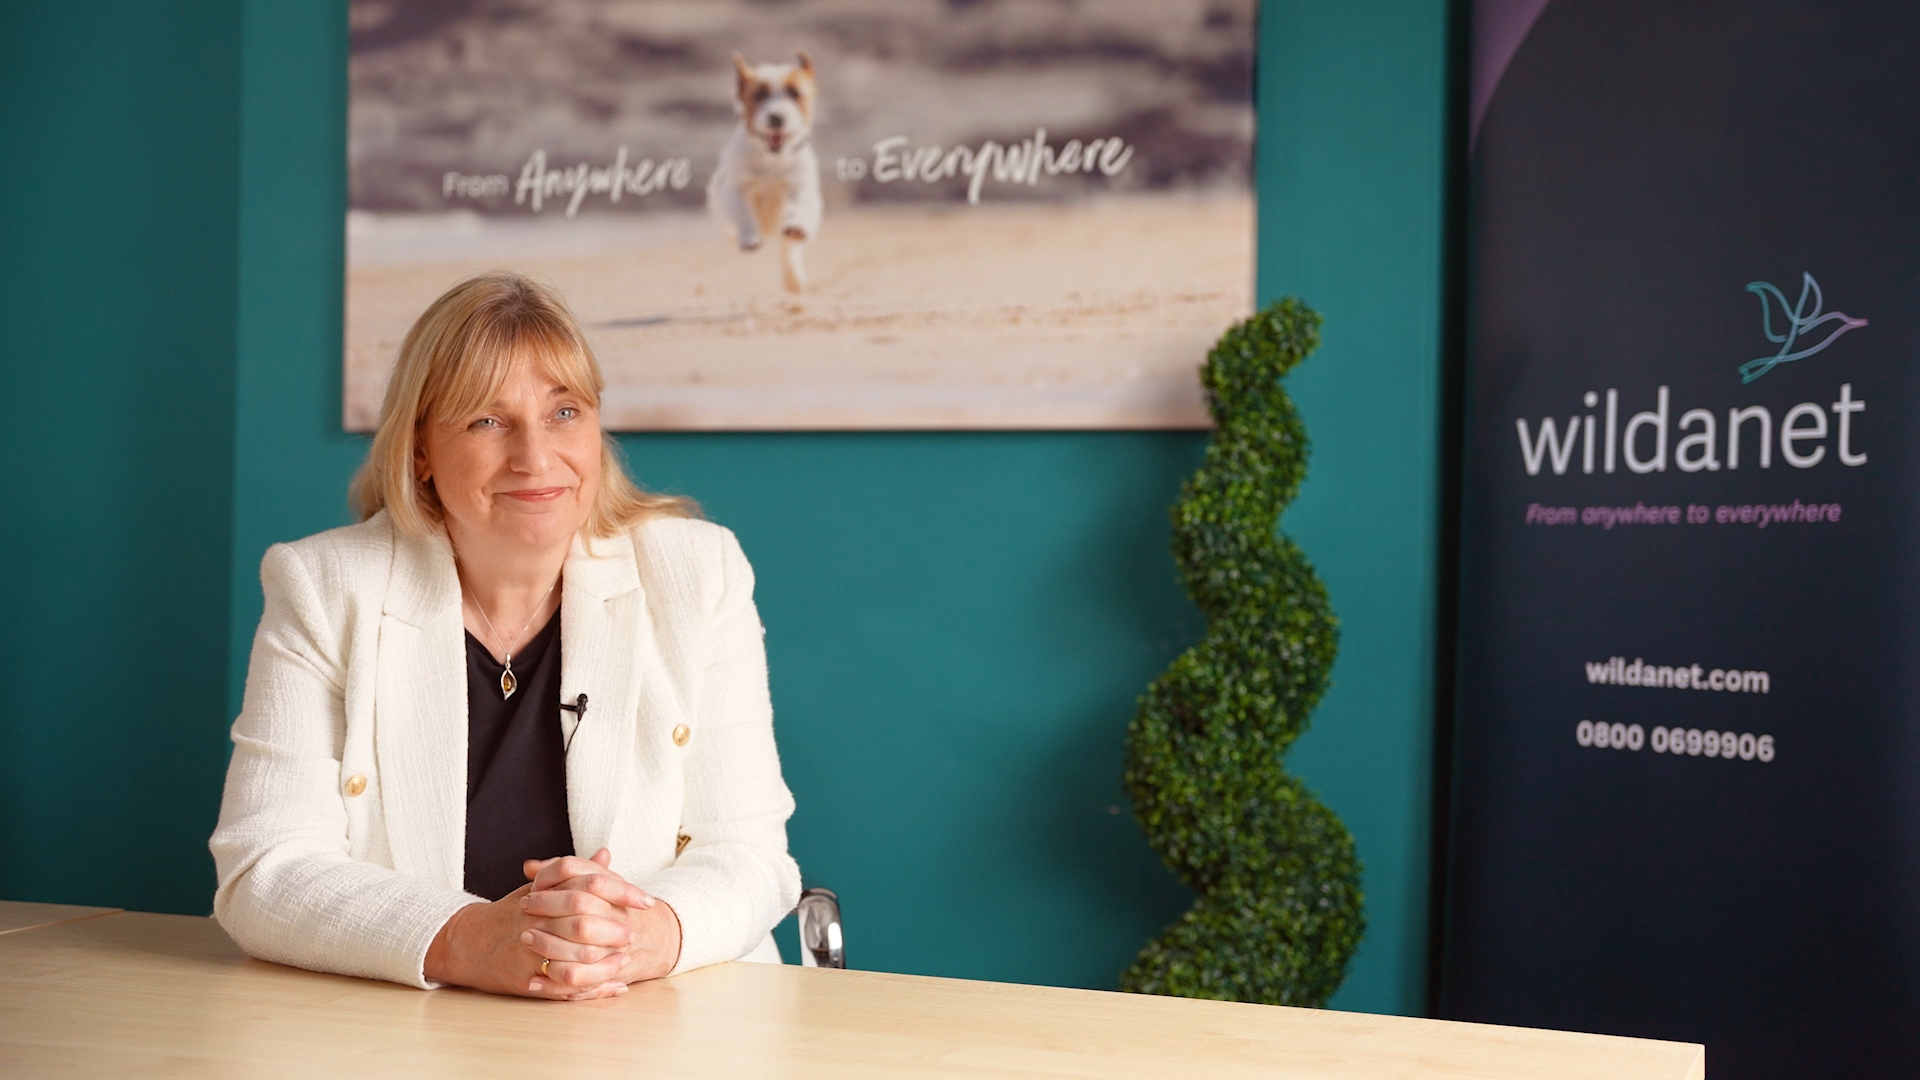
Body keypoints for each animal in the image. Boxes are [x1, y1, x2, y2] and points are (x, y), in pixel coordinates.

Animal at [710, 51, 821, 290]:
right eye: (759, 95)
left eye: (794, 93)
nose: (777, 117)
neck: (772, 159)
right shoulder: (735, 188)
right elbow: (742, 211)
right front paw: (749, 237)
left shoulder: (800, 186)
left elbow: (800, 206)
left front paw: (797, 226)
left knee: (788, 250)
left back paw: (793, 278)